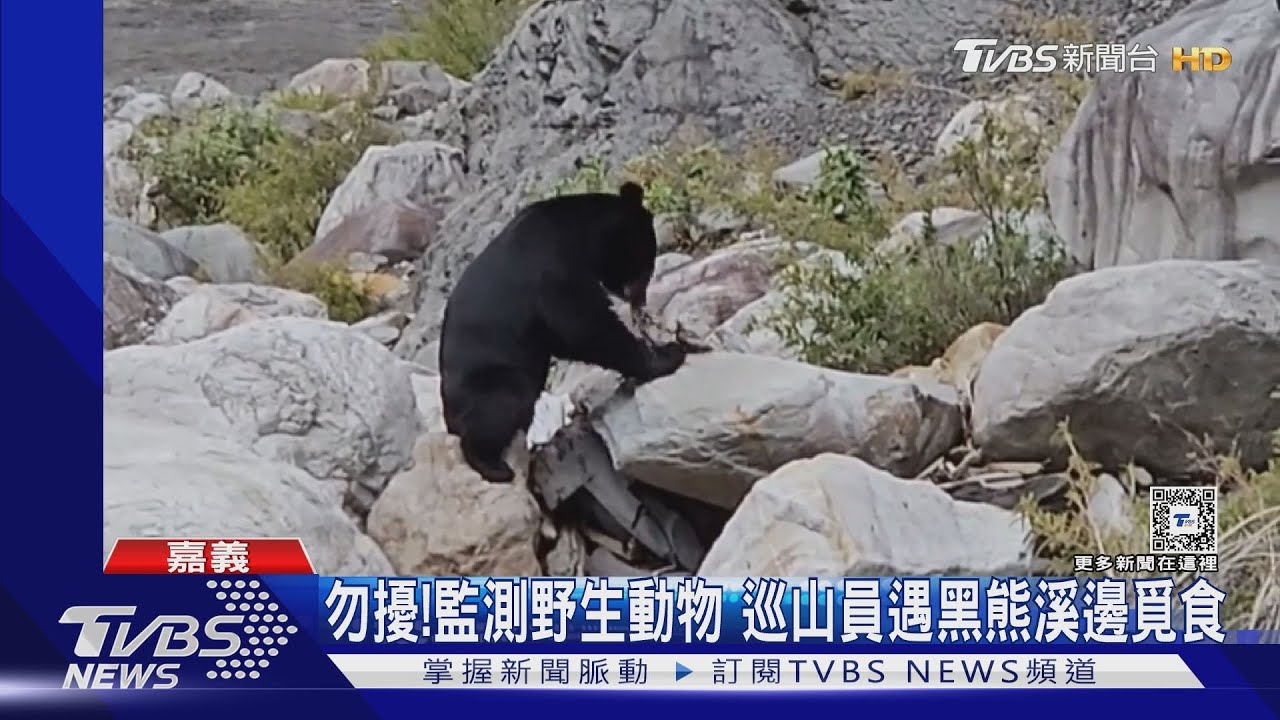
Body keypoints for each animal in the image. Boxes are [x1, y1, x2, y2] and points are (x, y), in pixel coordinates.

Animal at [438, 181, 691, 484]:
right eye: (647, 260)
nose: (639, 298)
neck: (581, 234)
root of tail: (449, 416)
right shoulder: (553, 272)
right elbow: (584, 326)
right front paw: (668, 355)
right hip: (489, 379)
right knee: (502, 403)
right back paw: (494, 465)